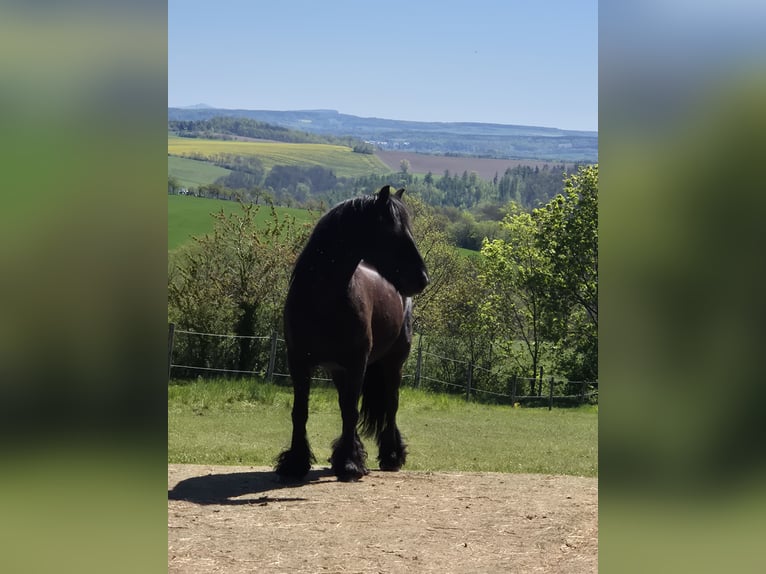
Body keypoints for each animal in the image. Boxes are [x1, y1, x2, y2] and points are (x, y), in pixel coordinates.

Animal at [275, 185, 429, 482]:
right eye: (393, 232)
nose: (422, 279)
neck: (323, 299)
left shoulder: (357, 362)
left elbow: (351, 411)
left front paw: (349, 464)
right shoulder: (299, 362)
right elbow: (301, 412)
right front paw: (295, 463)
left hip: (392, 365)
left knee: (390, 406)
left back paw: (391, 456)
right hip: (339, 370)